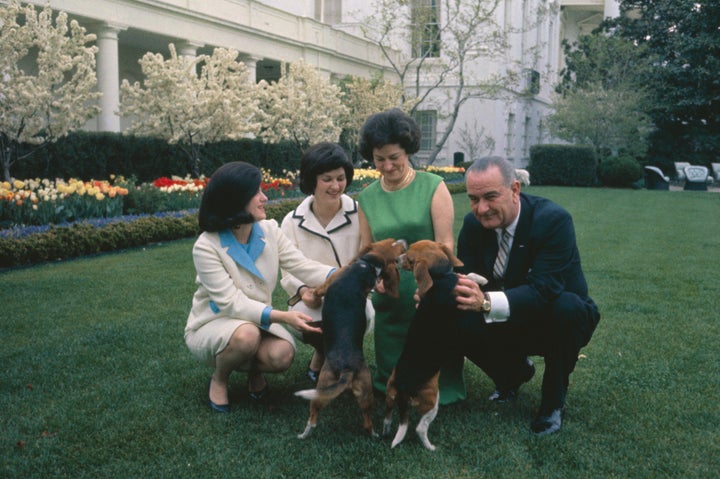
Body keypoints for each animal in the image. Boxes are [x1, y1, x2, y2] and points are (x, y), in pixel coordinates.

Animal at [292, 238, 404, 440]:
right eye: (392, 242)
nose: (403, 241)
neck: (368, 265)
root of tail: (346, 367)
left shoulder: (326, 284)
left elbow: (318, 291)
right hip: (343, 389)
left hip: (345, 389)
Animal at [382, 242, 490, 452]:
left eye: (409, 259)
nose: (396, 260)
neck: (440, 278)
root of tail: (402, 386)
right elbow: (466, 277)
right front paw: (480, 279)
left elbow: (465, 275)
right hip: (432, 401)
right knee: (420, 428)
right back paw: (431, 447)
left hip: (389, 394)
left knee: (387, 417)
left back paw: (384, 431)